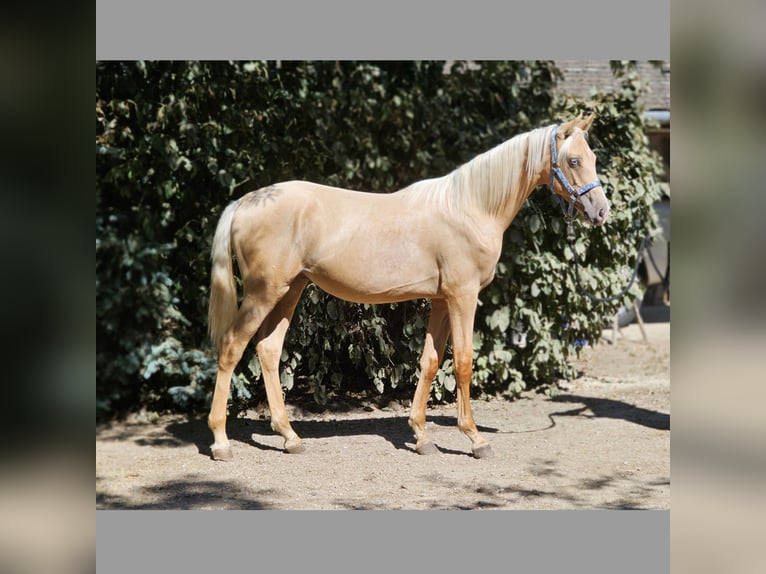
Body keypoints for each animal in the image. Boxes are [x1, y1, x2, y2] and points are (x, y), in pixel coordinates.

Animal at [206, 113, 612, 464]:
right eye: (573, 160)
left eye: (592, 157)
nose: (601, 211)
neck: (470, 208)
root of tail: (243, 203)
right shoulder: (463, 297)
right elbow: (462, 362)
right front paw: (475, 439)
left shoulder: (441, 300)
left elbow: (430, 361)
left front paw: (422, 436)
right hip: (263, 293)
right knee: (231, 347)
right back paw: (222, 442)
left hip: (290, 290)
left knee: (268, 350)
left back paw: (290, 437)